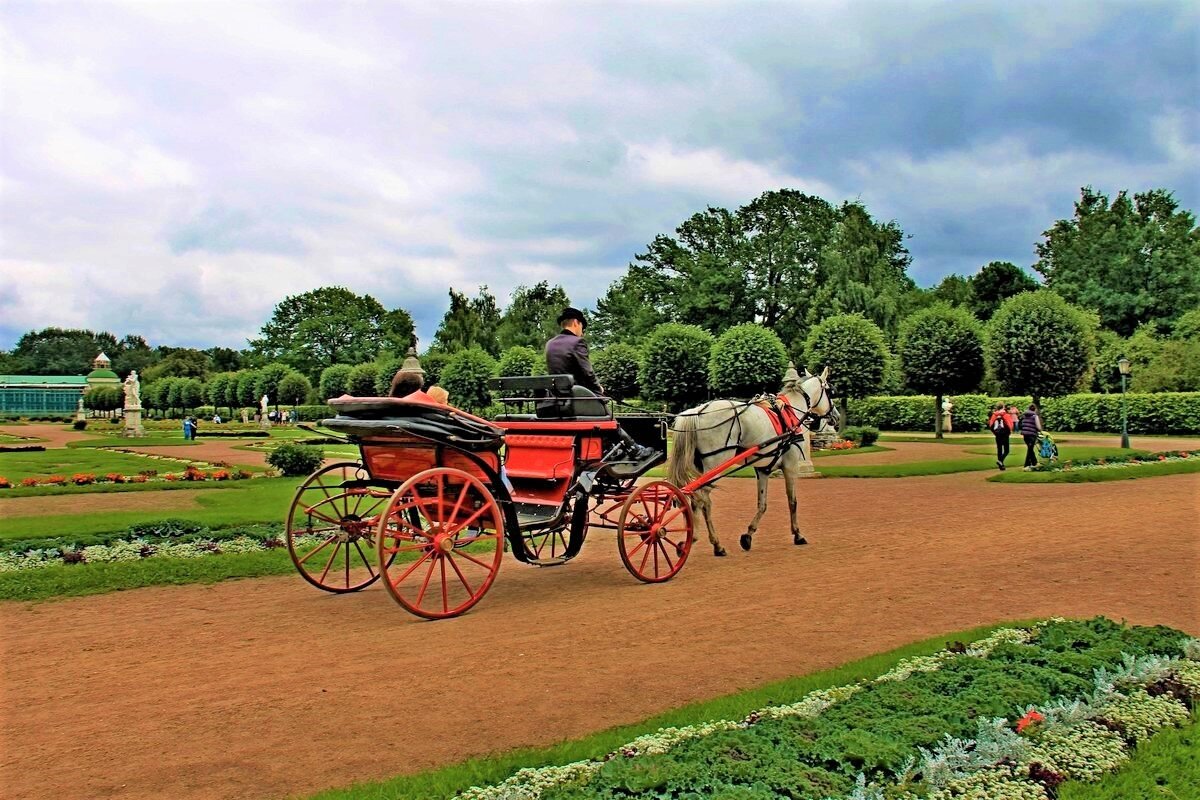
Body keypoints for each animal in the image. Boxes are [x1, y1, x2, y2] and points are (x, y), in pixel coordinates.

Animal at [672, 369, 840, 556]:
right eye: (831, 392)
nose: (836, 417)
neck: (790, 413)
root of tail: (699, 411)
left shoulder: (763, 469)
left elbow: (762, 504)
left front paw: (748, 535)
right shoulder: (790, 466)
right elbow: (793, 501)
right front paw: (798, 534)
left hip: (704, 468)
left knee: (699, 500)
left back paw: (706, 542)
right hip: (715, 465)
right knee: (700, 500)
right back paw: (705, 541)